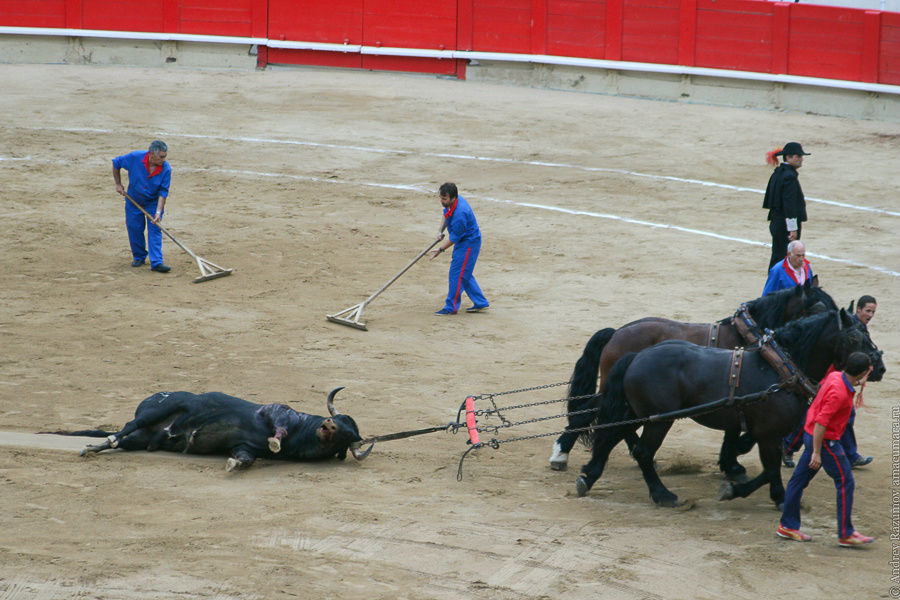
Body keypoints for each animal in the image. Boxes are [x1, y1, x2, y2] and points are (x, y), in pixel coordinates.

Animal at [44, 386, 368, 472]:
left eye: (348, 433)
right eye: (339, 419)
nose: (328, 423)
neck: (303, 432)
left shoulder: (245, 447)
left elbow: (245, 458)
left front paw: (232, 463)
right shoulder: (277, 412)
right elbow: (278, 426)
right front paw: (276, 441)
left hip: (141, 438)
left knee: (126, 440)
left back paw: (98, 447)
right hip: (156, 410)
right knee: (124, 428)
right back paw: (97, 444)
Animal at [548, 282, 836, 474]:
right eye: (819, 307)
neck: (748, 337)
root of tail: (617, 332)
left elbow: (733, 430)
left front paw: (730, 462)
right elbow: (734, 432)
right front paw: (733, 462)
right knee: (592, 412)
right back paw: (561, 452)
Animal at [572, 312, 884, 508]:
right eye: (855, 338)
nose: (878, 366)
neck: (779, 368)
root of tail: (636, 356)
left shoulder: (765, 433)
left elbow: (765, 464)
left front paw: (772, 493)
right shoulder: (769, 434)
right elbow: (770, 468)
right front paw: (742, 490)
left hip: (637, 414)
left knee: (610, 437)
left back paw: (589, 476)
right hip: (658, 421)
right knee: (643, 453)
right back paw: (663, 494)